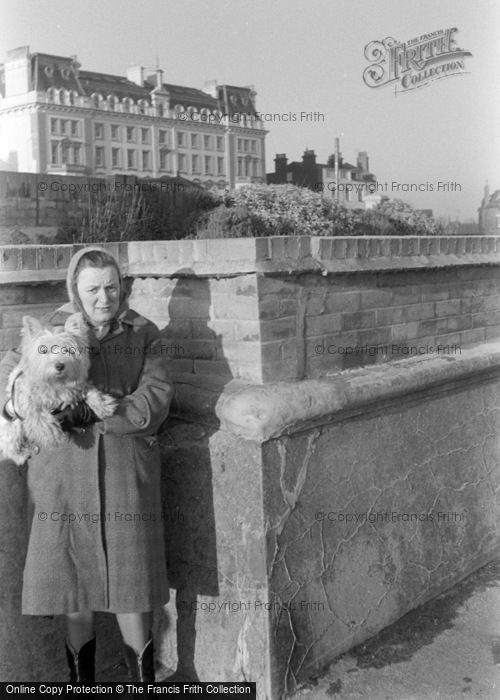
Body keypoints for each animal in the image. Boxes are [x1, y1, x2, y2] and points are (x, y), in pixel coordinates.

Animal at [0, 314, 116, 464]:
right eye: (43, 350)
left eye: (67, 349)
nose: (59, 365)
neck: (56, 383)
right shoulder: (26, 399)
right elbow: (37, 416)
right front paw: (52, 436)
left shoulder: (76, 386)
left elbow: (90, 390)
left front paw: (103, 404)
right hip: (12, 427)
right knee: (9, 445)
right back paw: (21, 455)